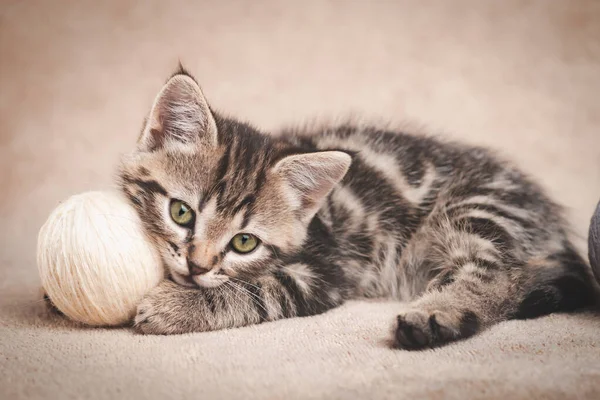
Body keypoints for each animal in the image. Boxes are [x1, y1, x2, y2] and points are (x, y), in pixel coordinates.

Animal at [119, 69, 596, 350]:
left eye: (244, 242)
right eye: (181, 213)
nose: (196, 266)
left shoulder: (328, 269)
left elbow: (255, 289)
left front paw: (175, 306)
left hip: (475, 209)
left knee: (501, 274)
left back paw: (436, 315)